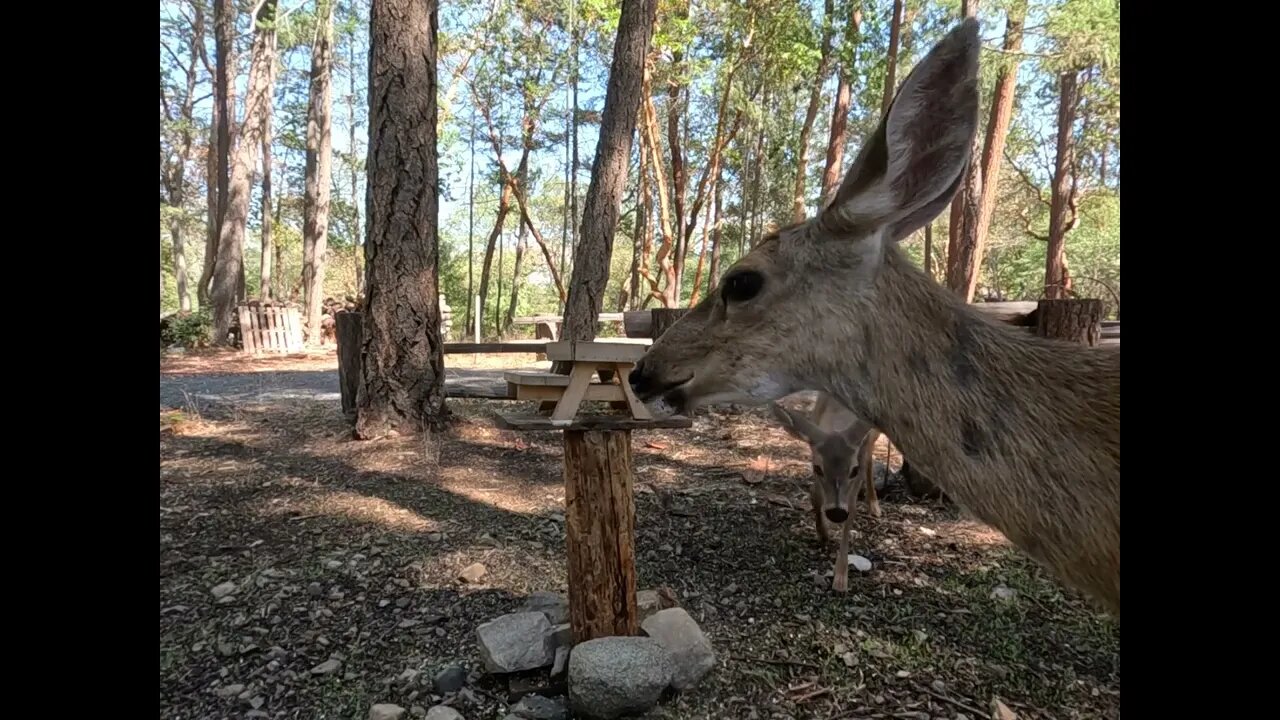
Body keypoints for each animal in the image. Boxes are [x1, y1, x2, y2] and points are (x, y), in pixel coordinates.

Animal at [768, 392, 880, 589]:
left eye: (853, 470)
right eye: (818, 468)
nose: (836, 512)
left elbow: (851, 511)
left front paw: (840, 578)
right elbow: (815, 495)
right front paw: (823, 533)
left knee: (870, 457)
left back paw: (874, 505)